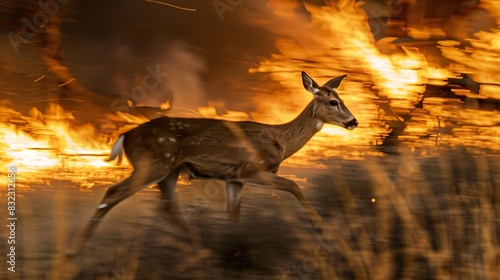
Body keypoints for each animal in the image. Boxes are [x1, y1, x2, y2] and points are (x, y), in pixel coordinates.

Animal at [68, 71, 358, 256]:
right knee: (113, 192)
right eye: (333, 102)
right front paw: (321, 230)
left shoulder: (234, 178)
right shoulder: (252, 169)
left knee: (168, 205)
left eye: (343, 100)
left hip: (169, 170)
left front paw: (232, 240)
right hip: (153, 164)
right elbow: (294, 185)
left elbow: (233, 214)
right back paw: (76, 249)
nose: (353, 121)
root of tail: (125, 136)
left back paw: (198, 245)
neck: (281, 141)